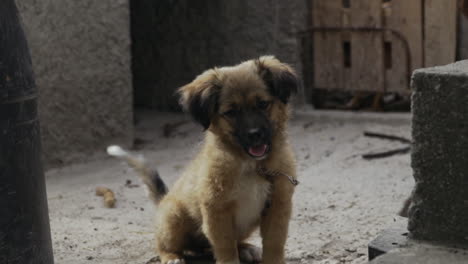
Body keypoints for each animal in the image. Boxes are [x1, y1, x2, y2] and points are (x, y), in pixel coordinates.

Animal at [108, 56, 298, 264]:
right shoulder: (217, 211)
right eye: (231, 112)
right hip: (174, 218)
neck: (251, 165)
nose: (255, 134)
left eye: (263, 104)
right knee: (163, 244)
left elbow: (274, 244)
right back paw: (172, 257)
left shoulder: (278, 206)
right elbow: (226, 249)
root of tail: (163, 200)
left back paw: (246, 248)